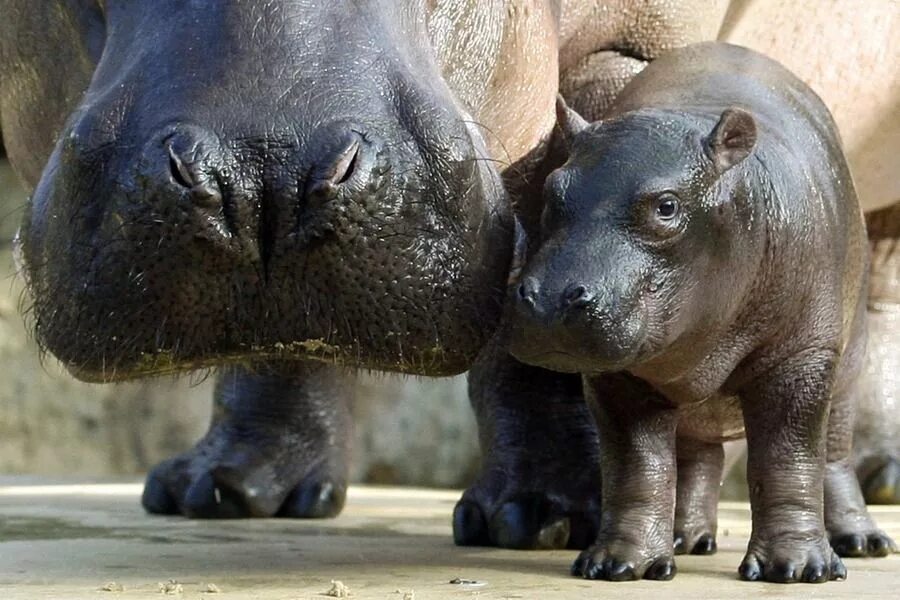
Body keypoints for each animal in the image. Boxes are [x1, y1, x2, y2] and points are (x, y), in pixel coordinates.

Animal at [510, 43, 896, 584]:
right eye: (551, 192)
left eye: (667, 206)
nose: (547, 299)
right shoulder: (618, 377)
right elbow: (638, 467)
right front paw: (618, 565)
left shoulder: (799, 358)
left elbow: (789, 457)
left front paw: (797, 569)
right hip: (701, 405)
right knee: (699, 456)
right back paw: (686, 540)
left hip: (847, 359)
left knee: (836, 454)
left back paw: (862, 542)